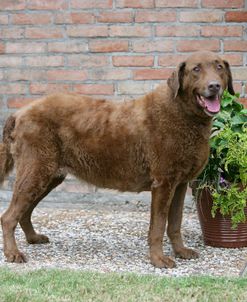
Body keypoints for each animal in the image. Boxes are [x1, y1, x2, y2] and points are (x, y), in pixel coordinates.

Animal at [0, 51, 234, 266]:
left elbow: (175, 223)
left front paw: (181, 251)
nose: (214, 86)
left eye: (219, 67)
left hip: (49, 176)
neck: (184, 114)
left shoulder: (180, 183)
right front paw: (158, 260)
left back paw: (33, 238)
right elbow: (158, 226)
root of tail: (19, 113)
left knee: (24, 211)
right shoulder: (163, 183)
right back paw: (13, 254)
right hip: (36, 170)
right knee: (8, 216)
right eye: (196, 69)